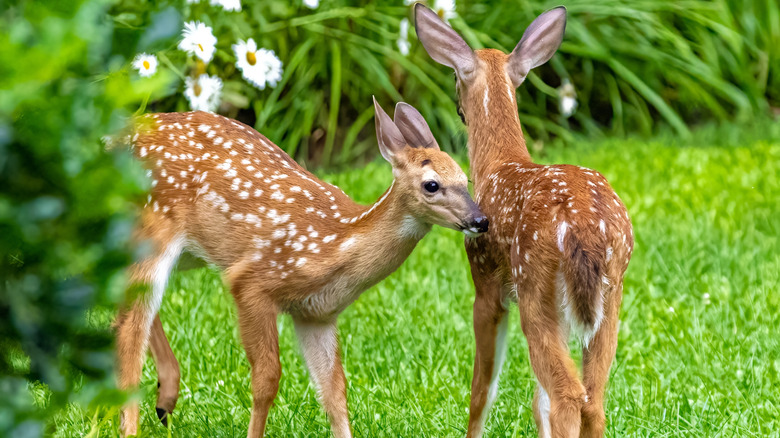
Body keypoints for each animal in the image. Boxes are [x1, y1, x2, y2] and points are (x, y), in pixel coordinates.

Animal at [115, 98, 489, 438]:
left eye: (466, 179)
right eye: (431, 185)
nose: (480, 220)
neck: (337, 245)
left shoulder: (316, 314)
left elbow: (334, 391)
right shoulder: (250, 282)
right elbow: (267, 379)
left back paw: (164, 401)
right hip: (152, 230)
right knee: (130, 331)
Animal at [414, 4, 633, 438]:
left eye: (454, 75)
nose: (457, 107)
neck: (498, 165)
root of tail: (584, 230)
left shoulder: (486, 281)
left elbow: (483, 388)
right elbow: (537, 400)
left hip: (535, 285)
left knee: (568, 395)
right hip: (611, 293)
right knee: (593, 397)